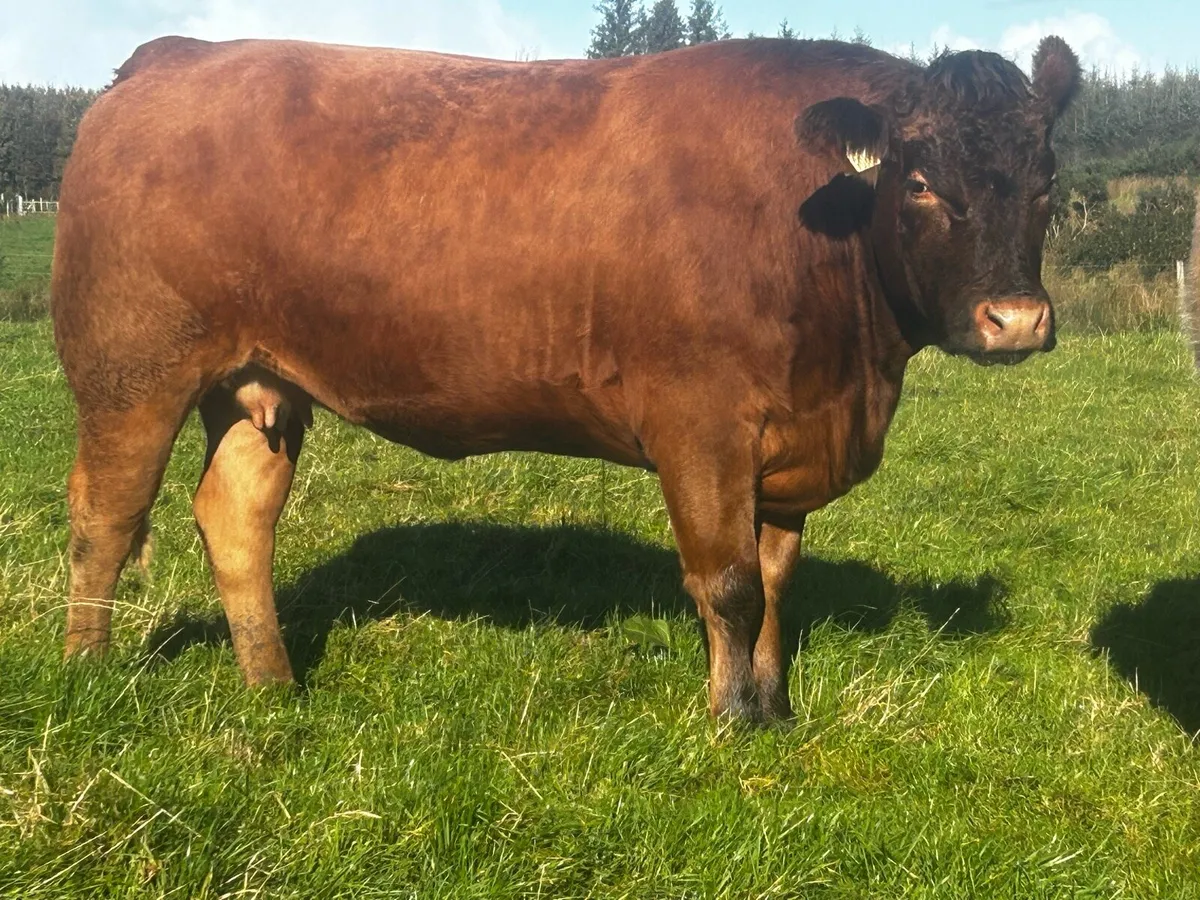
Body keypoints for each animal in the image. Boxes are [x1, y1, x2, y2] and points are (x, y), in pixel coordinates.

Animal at [51, 35, 1080, 723]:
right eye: (921, 180)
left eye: (1046, 181)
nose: (1015, 321)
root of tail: (174, 56)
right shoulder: (700, 425)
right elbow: (729, 583)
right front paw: (731, 719)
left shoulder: (791, 439)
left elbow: (778, 582)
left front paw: (775, 704)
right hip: (130, 370)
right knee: (105, 513)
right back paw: (87, 674)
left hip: (254, 381)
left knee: (236, 514)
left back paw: (273, 686)